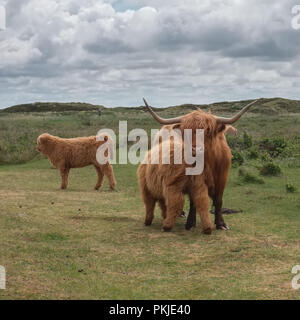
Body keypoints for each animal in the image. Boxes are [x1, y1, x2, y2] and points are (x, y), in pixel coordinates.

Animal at [139, 99, 256, 231]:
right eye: (186, 132)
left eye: (208, 130)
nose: (195, 149)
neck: (210, 163)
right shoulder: (193, 179)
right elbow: (193, 201)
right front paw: (190, 223)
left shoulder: (222, 179)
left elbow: (218, 200)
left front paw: (221, 223)